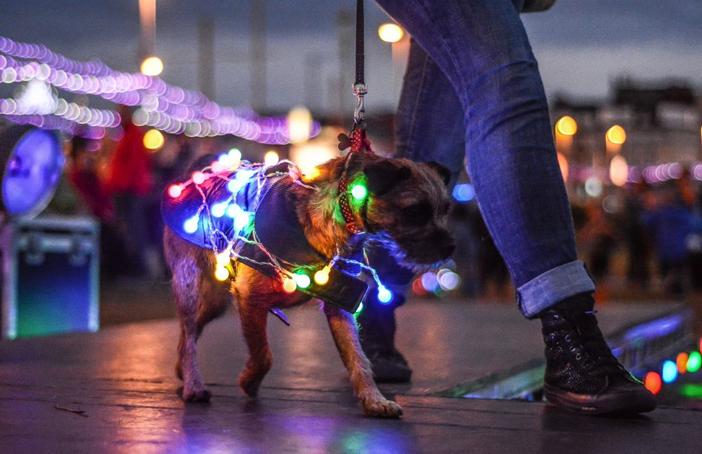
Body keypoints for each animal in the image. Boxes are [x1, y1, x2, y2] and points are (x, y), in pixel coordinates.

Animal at [162, 153, 454, 418]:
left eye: (445, 209)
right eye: (415, 211)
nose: (450, 247)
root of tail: (194, 177)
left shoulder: (341, 301)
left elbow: (358, 358)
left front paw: (373, 399)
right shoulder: (249, 297)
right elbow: (263, 353)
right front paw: (249, 380)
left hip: (214, 304)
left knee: (186, 337)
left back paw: (181, 370)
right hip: (193, 287)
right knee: (189, 336)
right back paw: (193, 384)